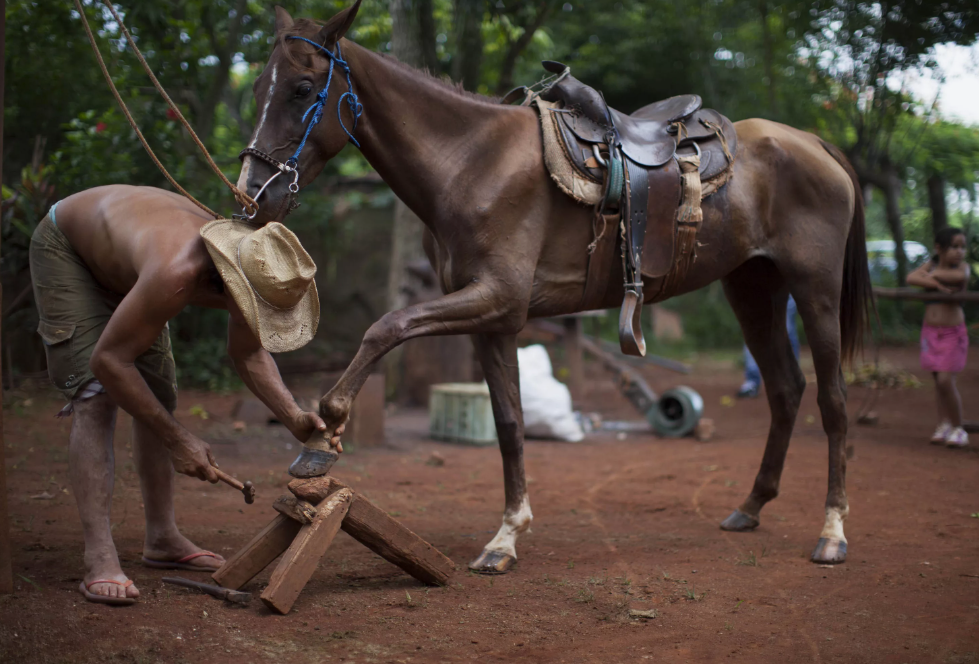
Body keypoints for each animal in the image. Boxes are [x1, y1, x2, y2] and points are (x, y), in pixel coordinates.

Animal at [235, 0, 872, 572]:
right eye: (259, 87)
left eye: (301, 89)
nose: (252, 193)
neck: (471, 163)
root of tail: (814, 142)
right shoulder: (494, 318)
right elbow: (509, 422)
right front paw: (506, 537)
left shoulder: (496, 298)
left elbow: (384, 327)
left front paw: (320, 441)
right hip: (753, 288)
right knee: (786, 390)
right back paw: (751, 506)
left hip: (813, 289)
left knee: (833, 400)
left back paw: (833, 533)